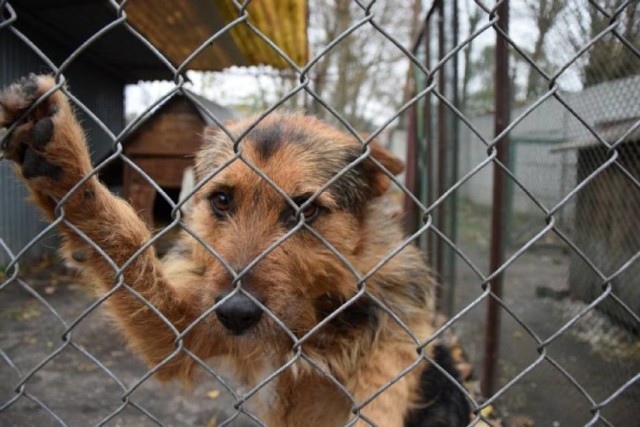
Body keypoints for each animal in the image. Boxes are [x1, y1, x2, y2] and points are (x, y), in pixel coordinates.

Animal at [1, 75, 470, 426]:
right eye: (222, 200)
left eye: (305, 211)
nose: (235, 313)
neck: (313, 319)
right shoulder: (183, 332)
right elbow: (131, 255)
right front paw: (67, 172)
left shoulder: (397, 342)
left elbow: (381, 395)